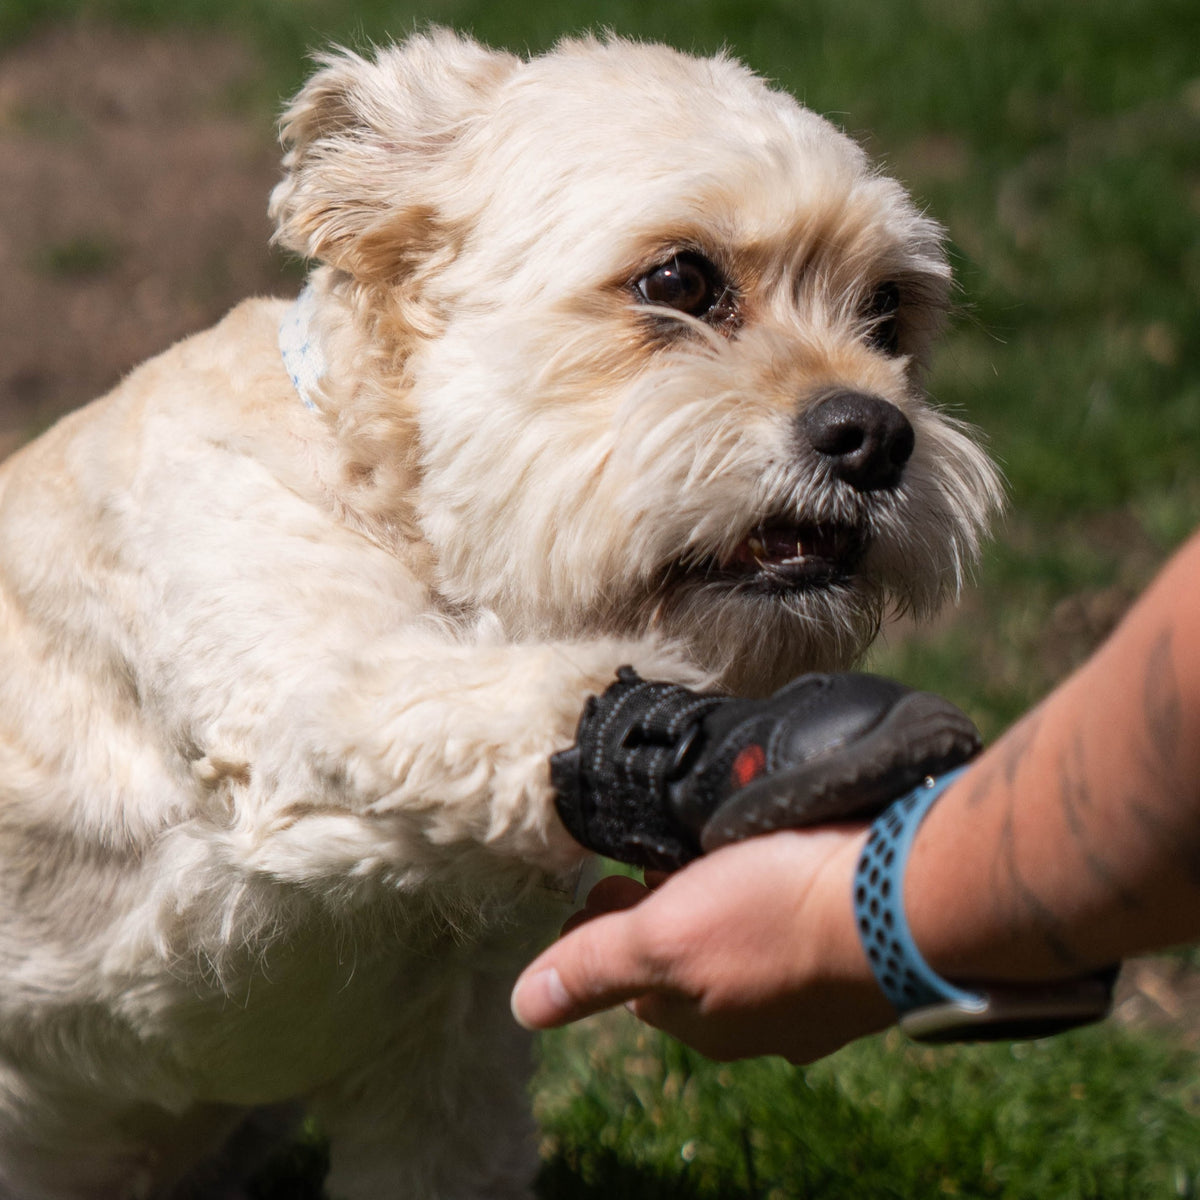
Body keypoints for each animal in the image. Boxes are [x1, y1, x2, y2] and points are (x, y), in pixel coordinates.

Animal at [0, 28, 998, 1200]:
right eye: (680, 279)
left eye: (888, 308)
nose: (877, 435)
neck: (397, 508)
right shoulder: (305, 694)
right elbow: (490, 706)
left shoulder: (446, 1070)